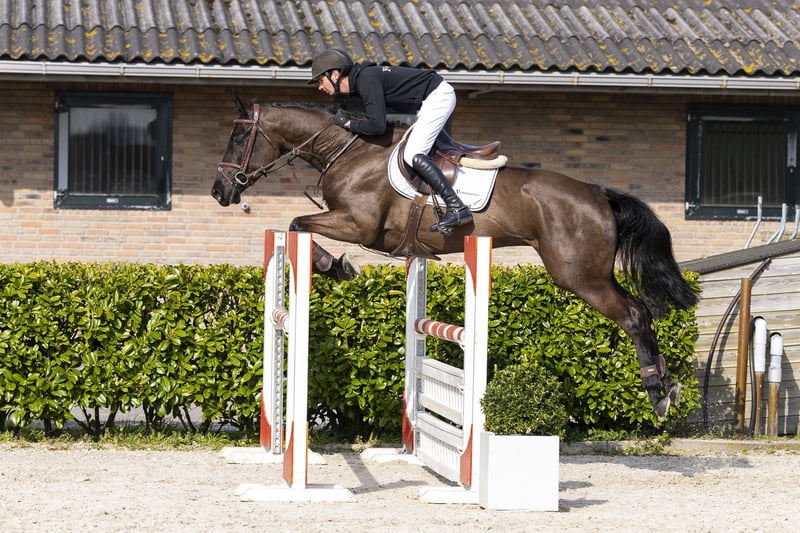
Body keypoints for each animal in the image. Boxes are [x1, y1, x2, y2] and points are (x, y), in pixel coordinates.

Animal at [211, 99, 699, 421]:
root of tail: (599, 193)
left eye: (239, 136)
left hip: (580, 276)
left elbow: (297, 222)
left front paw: (336, 267)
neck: (347, 152)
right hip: (587, 274)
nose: (220, 191)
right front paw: (337, 266)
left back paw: (658, 392)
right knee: (641, 313)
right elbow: (297, 223)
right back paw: (665, 388)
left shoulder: (357, 225)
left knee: (635, 315)